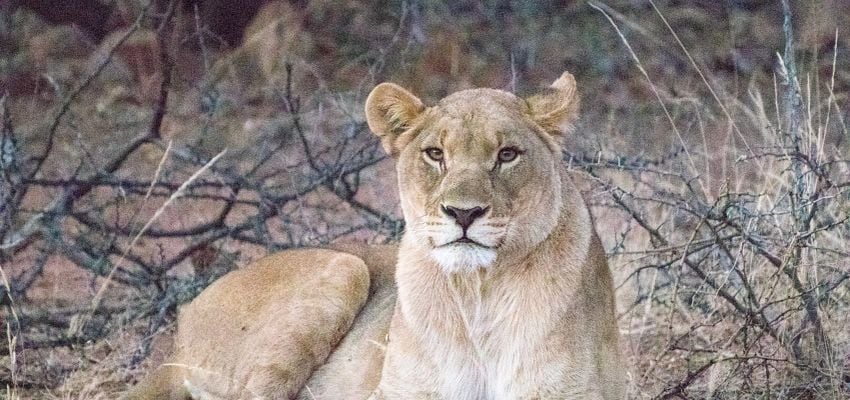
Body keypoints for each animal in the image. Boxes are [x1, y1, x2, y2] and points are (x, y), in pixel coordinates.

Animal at [125, 72, 624, 399]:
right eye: (435, 154)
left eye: (507, 155)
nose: (463, 213)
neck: (477, 292)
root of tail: (180, 331)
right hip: (345, 268)